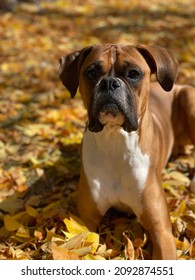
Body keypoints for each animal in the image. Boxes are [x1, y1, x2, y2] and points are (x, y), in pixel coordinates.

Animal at [59, 44, 195, 260]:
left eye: (133, 74)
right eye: (91, 73)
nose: (109, 83)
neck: (115, 140)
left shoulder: (162, 232)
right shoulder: (84, 225)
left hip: (188, 98)